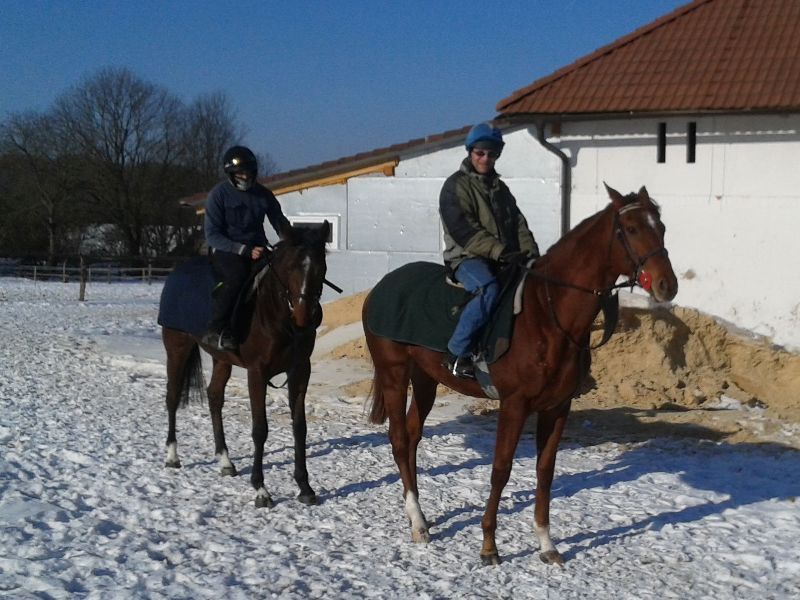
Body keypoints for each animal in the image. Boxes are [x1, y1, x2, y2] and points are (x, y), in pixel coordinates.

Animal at [162, 223, 332, 508]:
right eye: (292, 266)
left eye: (321, 266)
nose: (304, 317)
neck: (274, 314)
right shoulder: (257, 373)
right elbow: (260, 429)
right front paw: (261, 490)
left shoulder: (300, 371)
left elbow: (300, 428)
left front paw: (305, 487)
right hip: (177, 348)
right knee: (173, 397)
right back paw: (172, 456)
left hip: (221, 359)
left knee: (214, 397)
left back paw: (225, 461)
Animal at [362, 185, 676, 564]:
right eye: (630, 229)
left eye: (661, 227)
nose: (667, 285)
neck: (548, 314)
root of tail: (381, 286)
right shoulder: (514, 405)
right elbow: (501, 469)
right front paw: (489, 545)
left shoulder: (557, 408)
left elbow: (545, 472)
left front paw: (546, 544)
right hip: (393, 374)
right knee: (397, 439)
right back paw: (419, 523)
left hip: (426, 379)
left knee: (411, 436)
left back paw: (419, 515)